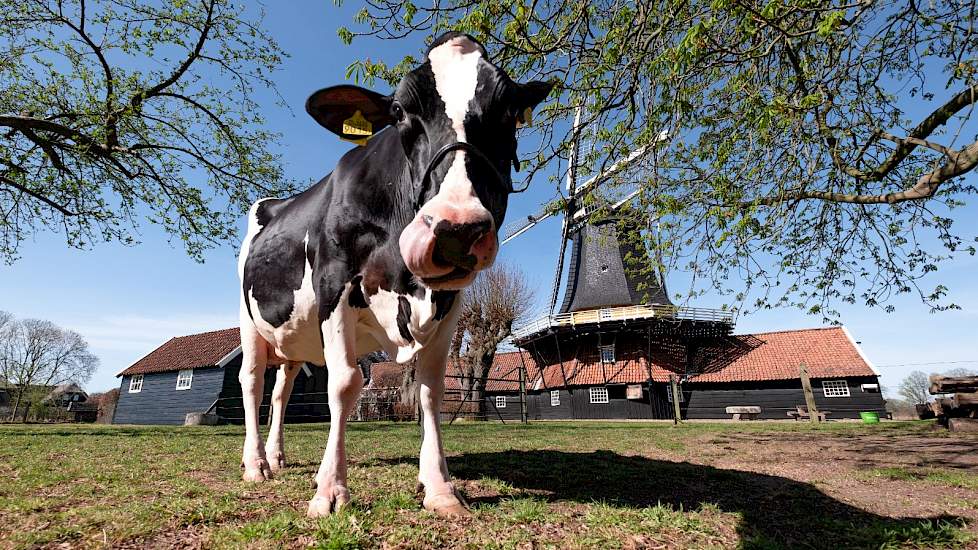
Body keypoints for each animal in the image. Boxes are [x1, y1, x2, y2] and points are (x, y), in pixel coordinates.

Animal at [237, 32, 552, 520]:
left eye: (508, 110)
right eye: (401, 110)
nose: (456, 227)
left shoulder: (451, 301)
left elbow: (430, 390)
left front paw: (439, 487)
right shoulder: (334, 284)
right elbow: (345, 384)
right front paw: (329, 490)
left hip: (293, 336)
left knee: (282, 390)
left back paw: (278, 456)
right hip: (249, 320)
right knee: (253, 383)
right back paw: (256, 465)